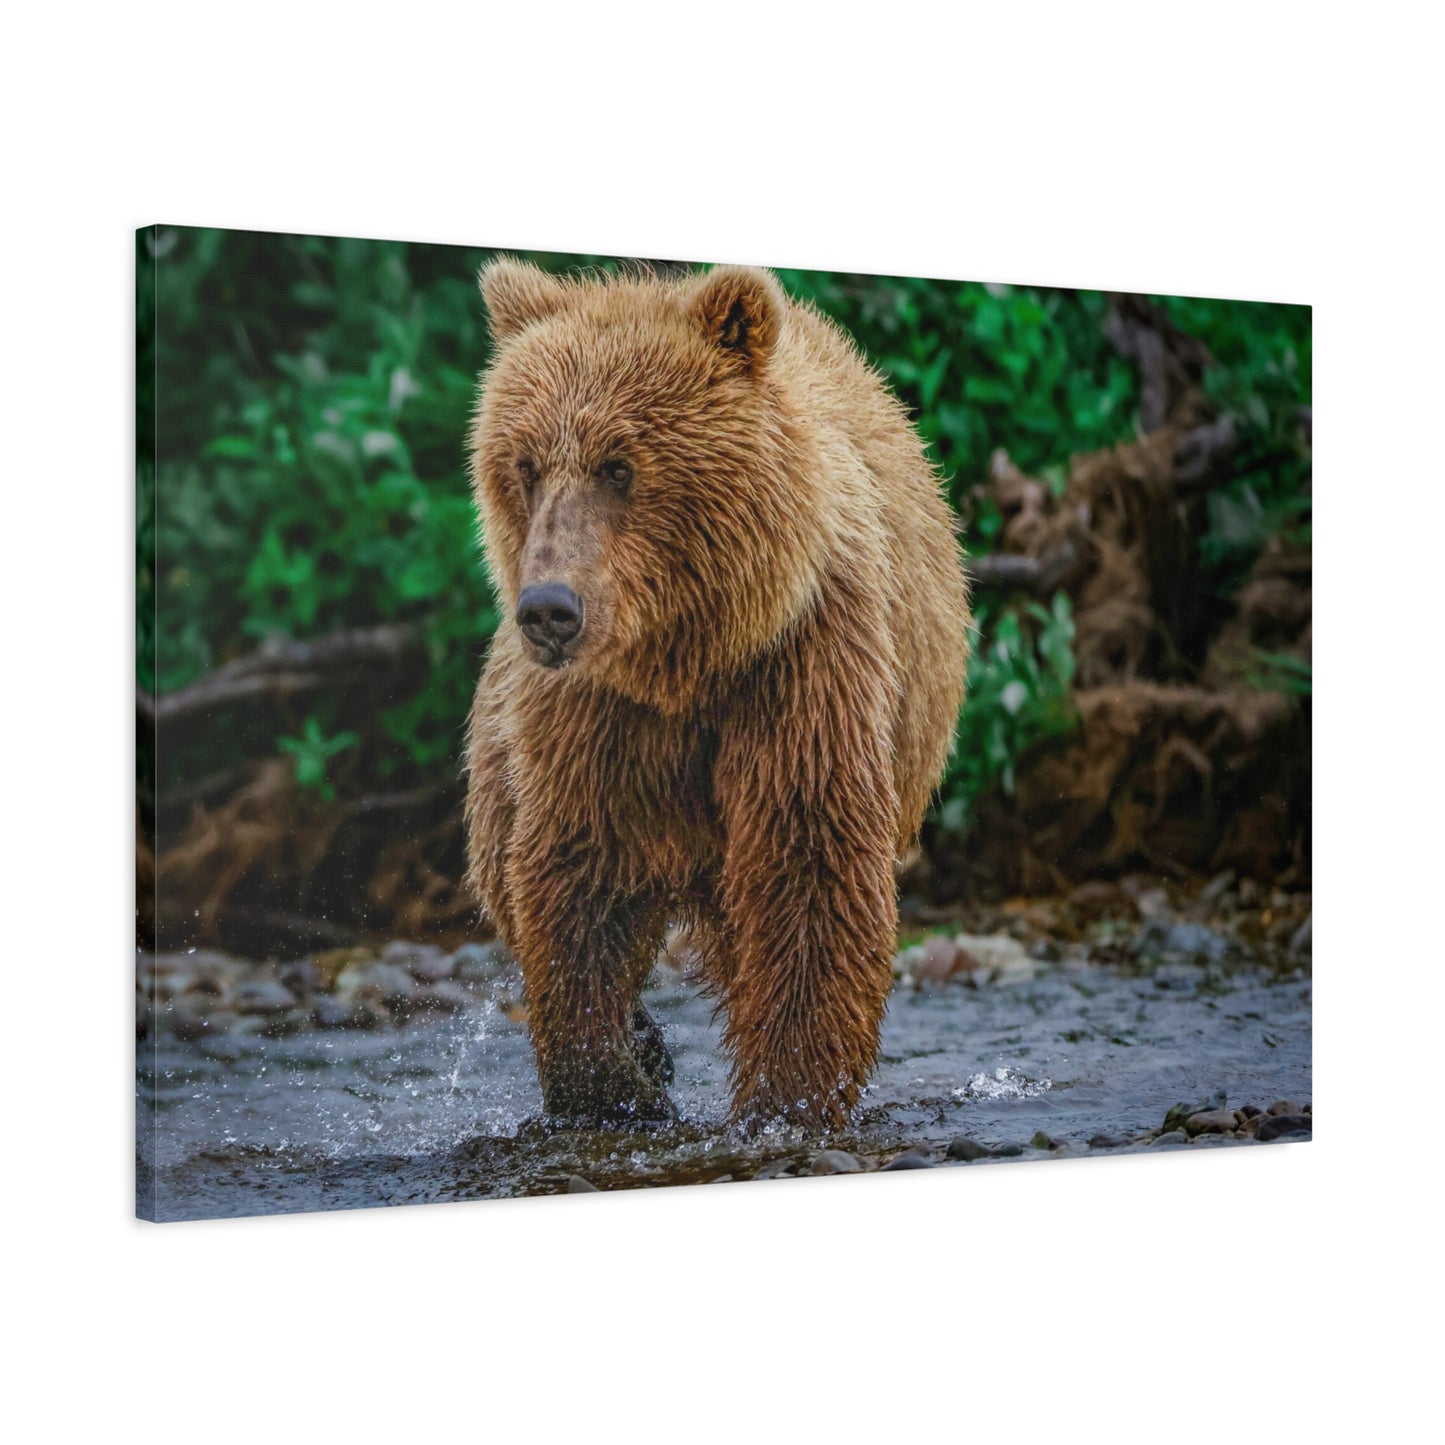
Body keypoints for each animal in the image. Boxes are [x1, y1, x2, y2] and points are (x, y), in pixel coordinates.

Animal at [464, 258, 970, 1131]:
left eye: (619, 464)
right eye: (523, 465)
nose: (550, 610)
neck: (687, 657)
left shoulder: (801, 663)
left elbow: (809, 865)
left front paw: (786, 1094)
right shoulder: (597, 715)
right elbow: (578, 872)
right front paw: (612, 1082)